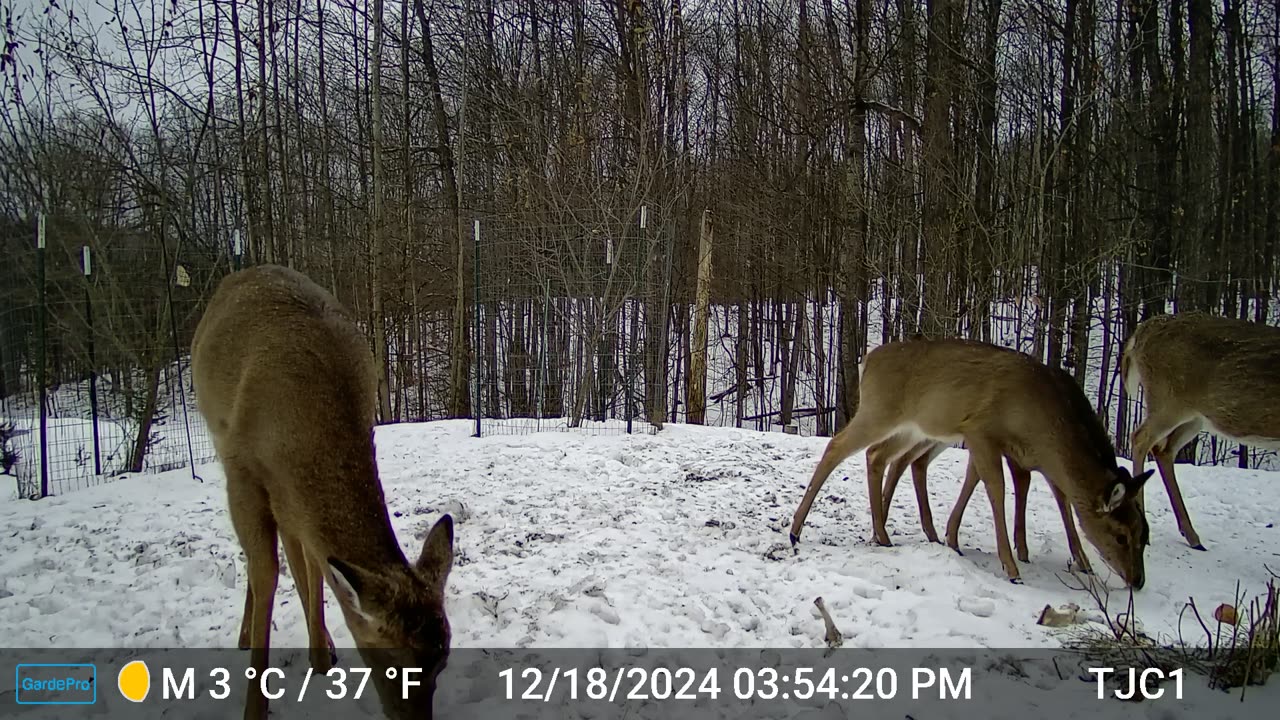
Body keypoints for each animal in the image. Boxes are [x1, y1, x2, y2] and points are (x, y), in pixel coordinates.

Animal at [192, 265, 458, 717]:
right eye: (391, 663)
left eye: (443, 661)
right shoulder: (242, 468)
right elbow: (265, 573)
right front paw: (254, 708)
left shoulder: (291, 490)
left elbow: (312, 562)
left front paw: (319, 656)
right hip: (218, 435)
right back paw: (248, 636)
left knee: (301, 550)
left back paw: (321, 645)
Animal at [783, 335, 1157, 584]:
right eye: (1121, 536)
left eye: (1145, 534)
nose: (1137, 581)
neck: (1043, 419)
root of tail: (867, 360)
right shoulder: (983, 430)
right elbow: (998, 487)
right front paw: (1012, 565)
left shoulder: (1009, 449)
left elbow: (1048, 494)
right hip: (881, 411)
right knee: (838, 446)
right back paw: (796, 529)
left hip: (914, 427)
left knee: (881, 456)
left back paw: (882, 532)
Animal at [1121, 310, 1280, 548]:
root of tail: (1141, 331)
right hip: (1168, 399)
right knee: (1141, 438)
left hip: (1194, 418)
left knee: (1164, 449)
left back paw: (1191, 535)